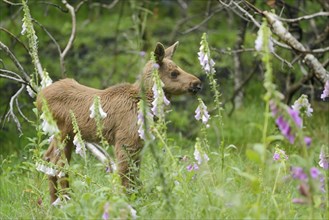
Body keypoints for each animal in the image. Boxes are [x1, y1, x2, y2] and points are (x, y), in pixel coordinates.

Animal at [36, 41, 200, 203]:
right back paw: (65, 201)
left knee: (49, 158)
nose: (197, 83)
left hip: (66, 135)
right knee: (58, 163)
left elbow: (134, 175)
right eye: (174, 73)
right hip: (62, 132)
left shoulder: (138, 143)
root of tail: (38, 98)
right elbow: (124, 175)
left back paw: (54, 202)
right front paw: (126, 202)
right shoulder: (125, 140)